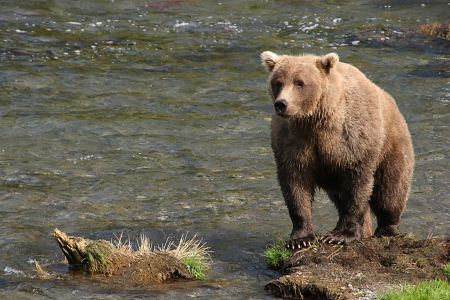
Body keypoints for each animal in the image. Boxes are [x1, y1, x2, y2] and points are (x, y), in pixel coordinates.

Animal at [260, 51, 414, 248]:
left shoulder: (351, 139)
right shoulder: (292, 142)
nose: (282, 103)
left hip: (391, 143)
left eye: (299, 82)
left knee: (390, 187)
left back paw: (387, 228)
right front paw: (300, 239)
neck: (315, 122)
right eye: (278, 82)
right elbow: (295, 184)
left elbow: (357, 185)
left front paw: (341, 235)